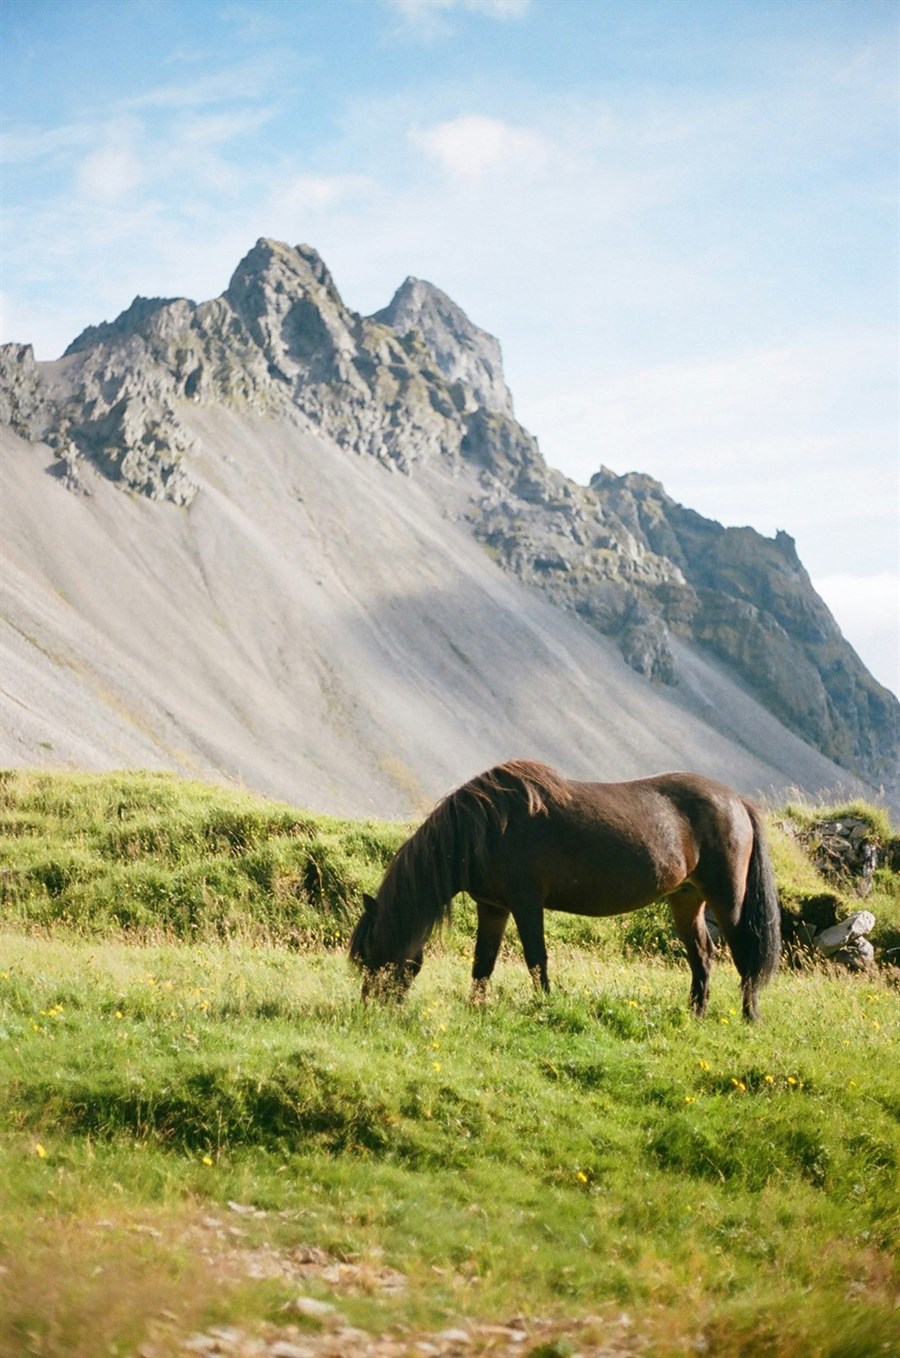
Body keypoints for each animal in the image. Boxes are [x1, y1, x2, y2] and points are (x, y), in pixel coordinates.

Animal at [347, 755, 787, 1021]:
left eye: (371, 953)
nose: (367, 1008)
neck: (487, 827)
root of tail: (737, 801)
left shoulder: (526, 904)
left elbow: (535, 959)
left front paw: (545, 1006)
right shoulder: (493, 908)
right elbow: (482, 963)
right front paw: (477, 1007)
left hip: (727, 900)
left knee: (745, 956)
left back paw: (750, 1017)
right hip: (686, 900)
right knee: (702, 955)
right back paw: (695, 1014)